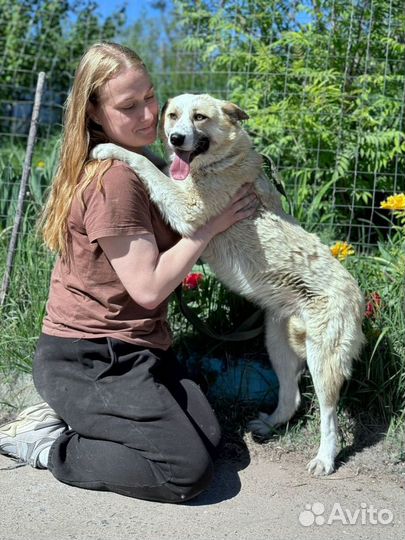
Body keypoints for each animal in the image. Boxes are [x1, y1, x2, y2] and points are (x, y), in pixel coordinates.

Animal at [90, 94, 362, 476]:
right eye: (172, 116)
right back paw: (270, 424)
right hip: (277, 344)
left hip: (323, 361)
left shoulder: (187, 209)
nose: (176, 138)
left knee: (328, 414)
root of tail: (358, 295)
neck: (222, 161)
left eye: (199, 117)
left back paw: (325, 458)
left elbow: (146, 164)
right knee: (291, 396)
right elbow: (158, 164)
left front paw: (111, 149)